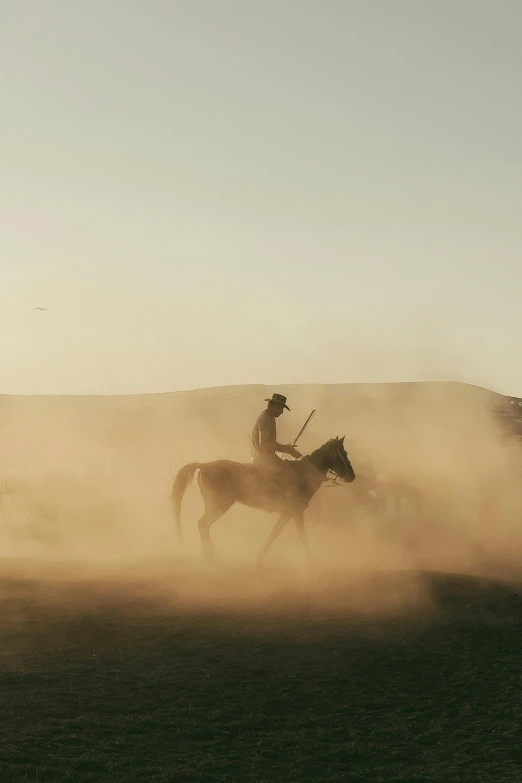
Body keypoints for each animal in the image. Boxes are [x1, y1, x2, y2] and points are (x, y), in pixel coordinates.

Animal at [171, 434, 354, 564]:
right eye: (343, 454)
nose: (352, 476)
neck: (303, 474)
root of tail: (204, 465)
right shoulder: (296, 513)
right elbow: (302, 536)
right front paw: (309, 560)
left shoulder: (287, 514)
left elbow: (274, 534)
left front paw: (259, 557)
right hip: (218, 505)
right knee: (202, 524)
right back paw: (209, 556)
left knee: (203, 525)